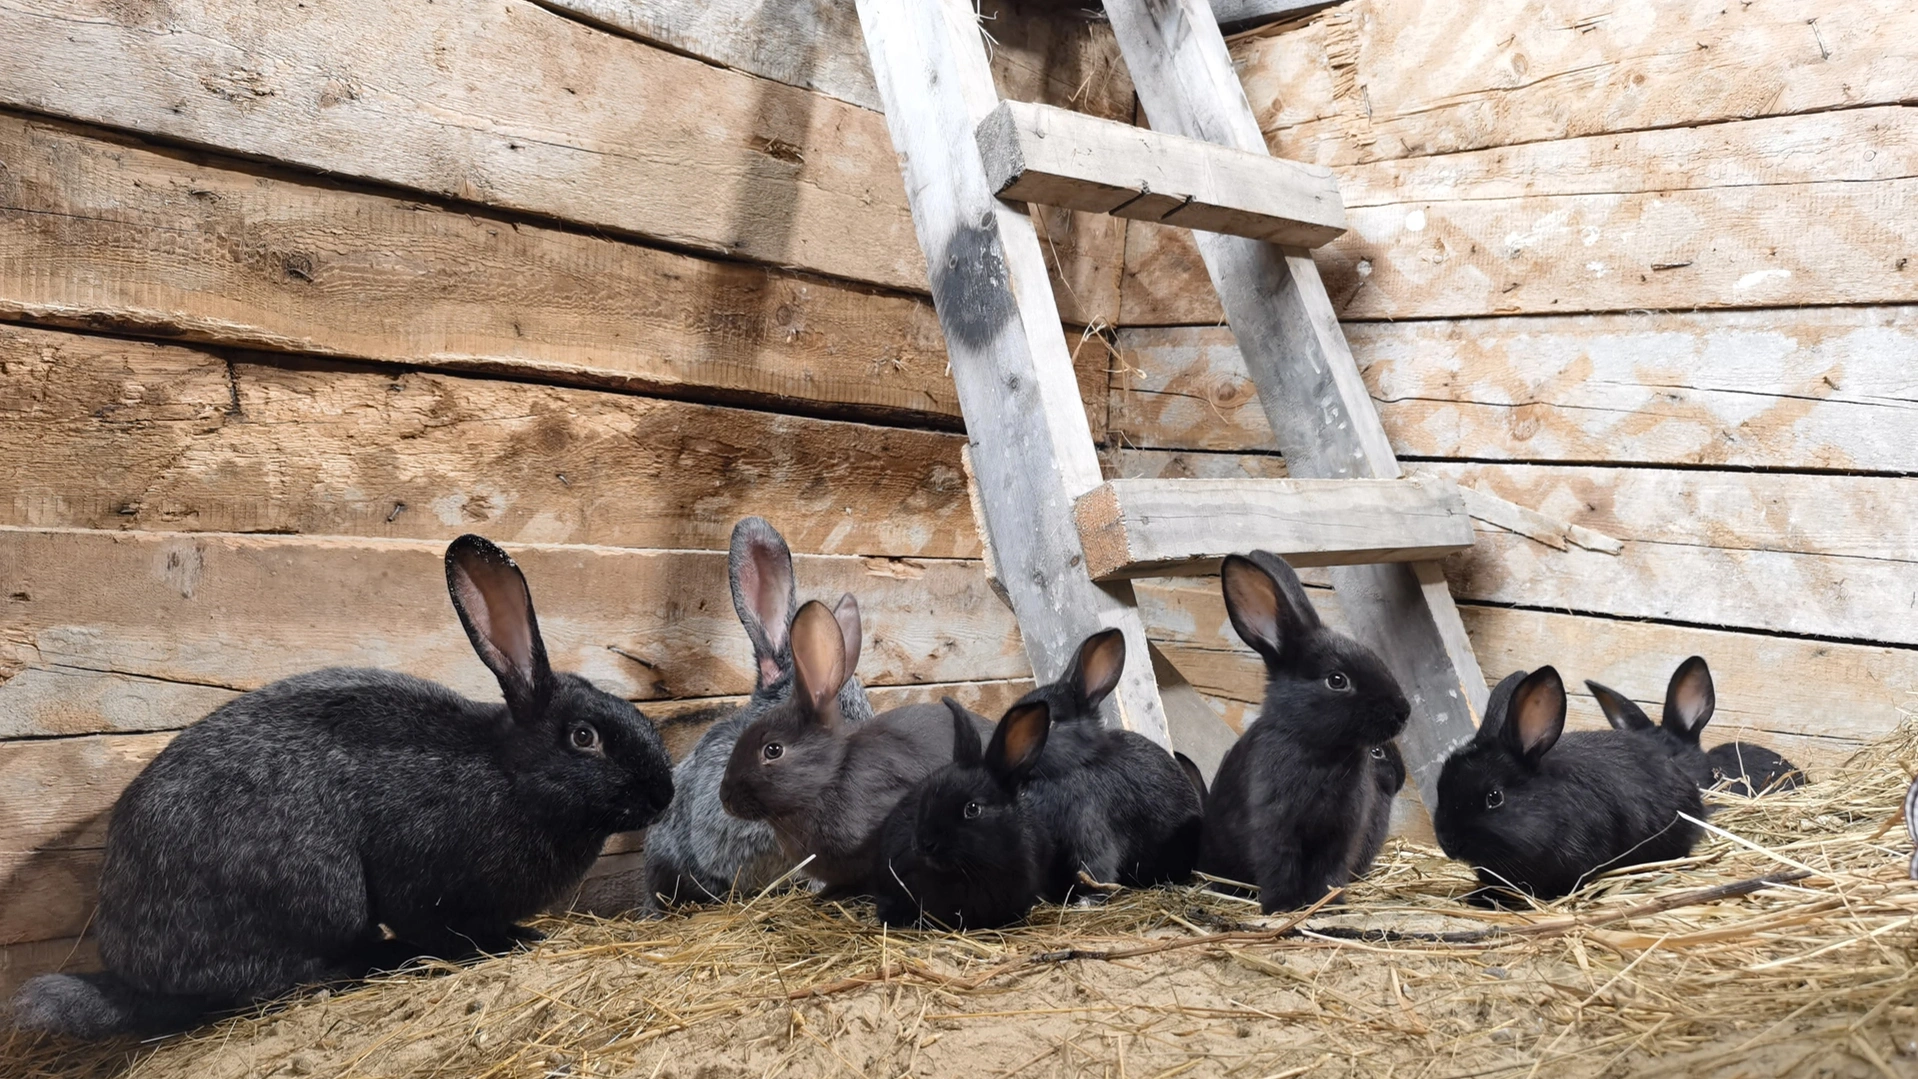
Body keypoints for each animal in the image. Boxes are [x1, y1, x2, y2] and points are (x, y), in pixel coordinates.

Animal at [9, 536, 675, 1042]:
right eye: (585, 737)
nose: (663, 796)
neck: (509, 775)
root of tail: (131, 976)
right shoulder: (421, 884)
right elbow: (440, 928)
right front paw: (516, 940)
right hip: (322, 893)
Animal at [1196, 551, 1411, 916]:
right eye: (1337, 680)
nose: (1404, 712)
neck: (1321, 753)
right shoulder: (1274, 828)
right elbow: (1279, 866)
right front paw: (1281, 908)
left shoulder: (1339, 835)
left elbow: (1328, 873)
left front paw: (1329, 904)